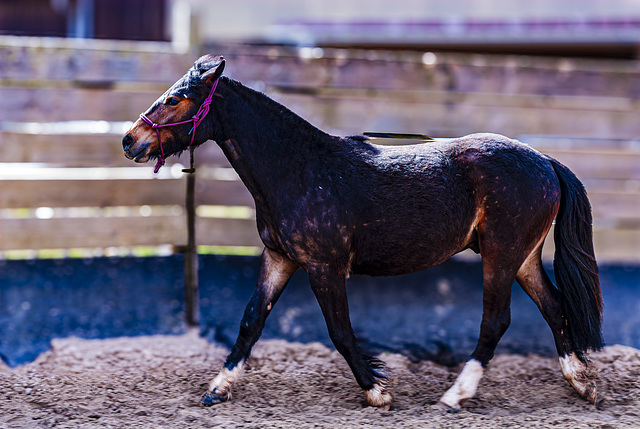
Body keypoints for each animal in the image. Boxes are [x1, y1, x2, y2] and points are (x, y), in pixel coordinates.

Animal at [121, 55, 604, 410]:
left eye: (177, 98)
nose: (129, 140)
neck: (299, 169)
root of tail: (545, 162)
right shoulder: (280, 257)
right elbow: (251, 320)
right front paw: (217, 388)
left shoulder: (325, 266)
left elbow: (339, 331)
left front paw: (378, 391)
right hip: (522, 257)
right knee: (554, 306)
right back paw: (582, 383)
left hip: (501, 254)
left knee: (496, 320)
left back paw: (455, 395)